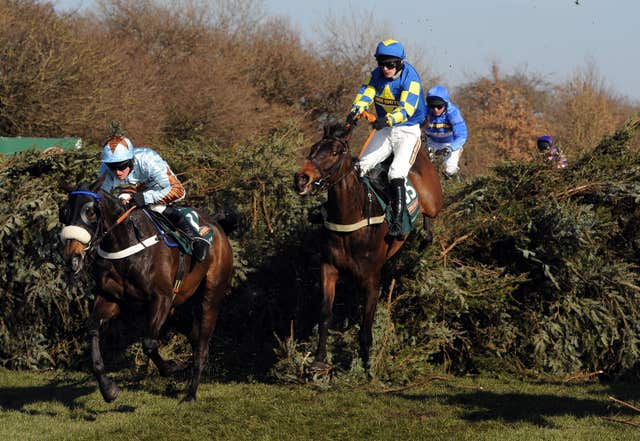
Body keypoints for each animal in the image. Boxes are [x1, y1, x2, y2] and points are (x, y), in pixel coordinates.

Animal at [58, 179, 234, 402]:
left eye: (90, 211)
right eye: (64, 212)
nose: (72, 257)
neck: (125, 244)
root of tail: (217, 226)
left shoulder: (161, 298)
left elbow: (149, 343)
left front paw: (171, 367)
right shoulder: (111, 298)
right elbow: (92, 329)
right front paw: (108, 389)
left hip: (211, 296)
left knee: (202, 344)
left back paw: (190, 394)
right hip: (177, 309)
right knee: (195, 336)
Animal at [294, 123, 440, 372]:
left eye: (335, 152)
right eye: (313, 149)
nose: (302, 178)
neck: (351, 216)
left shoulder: (372, 279)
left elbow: (365, 329)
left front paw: (367, 368)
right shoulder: (329, 267)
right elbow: (324, 314)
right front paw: (319, 360)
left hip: (431, 199)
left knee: (429, 214)